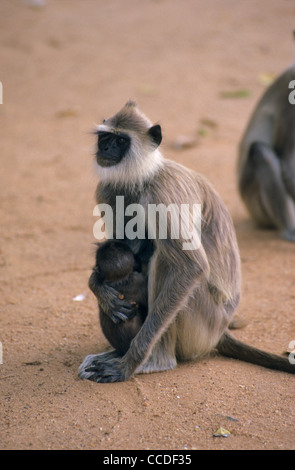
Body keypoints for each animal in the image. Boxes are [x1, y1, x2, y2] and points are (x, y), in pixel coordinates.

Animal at [78, 101, 295, 384]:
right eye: (104, 138)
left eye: (120, 140)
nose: (104, 149)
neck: (143, 177)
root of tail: (221, 331)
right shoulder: (107, 189)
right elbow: (120, 253)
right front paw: (98, 287)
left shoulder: (163, 192)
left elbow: (192, 267)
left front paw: (129, 363)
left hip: (203, 323)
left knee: (167, 259)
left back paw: (156, 360)